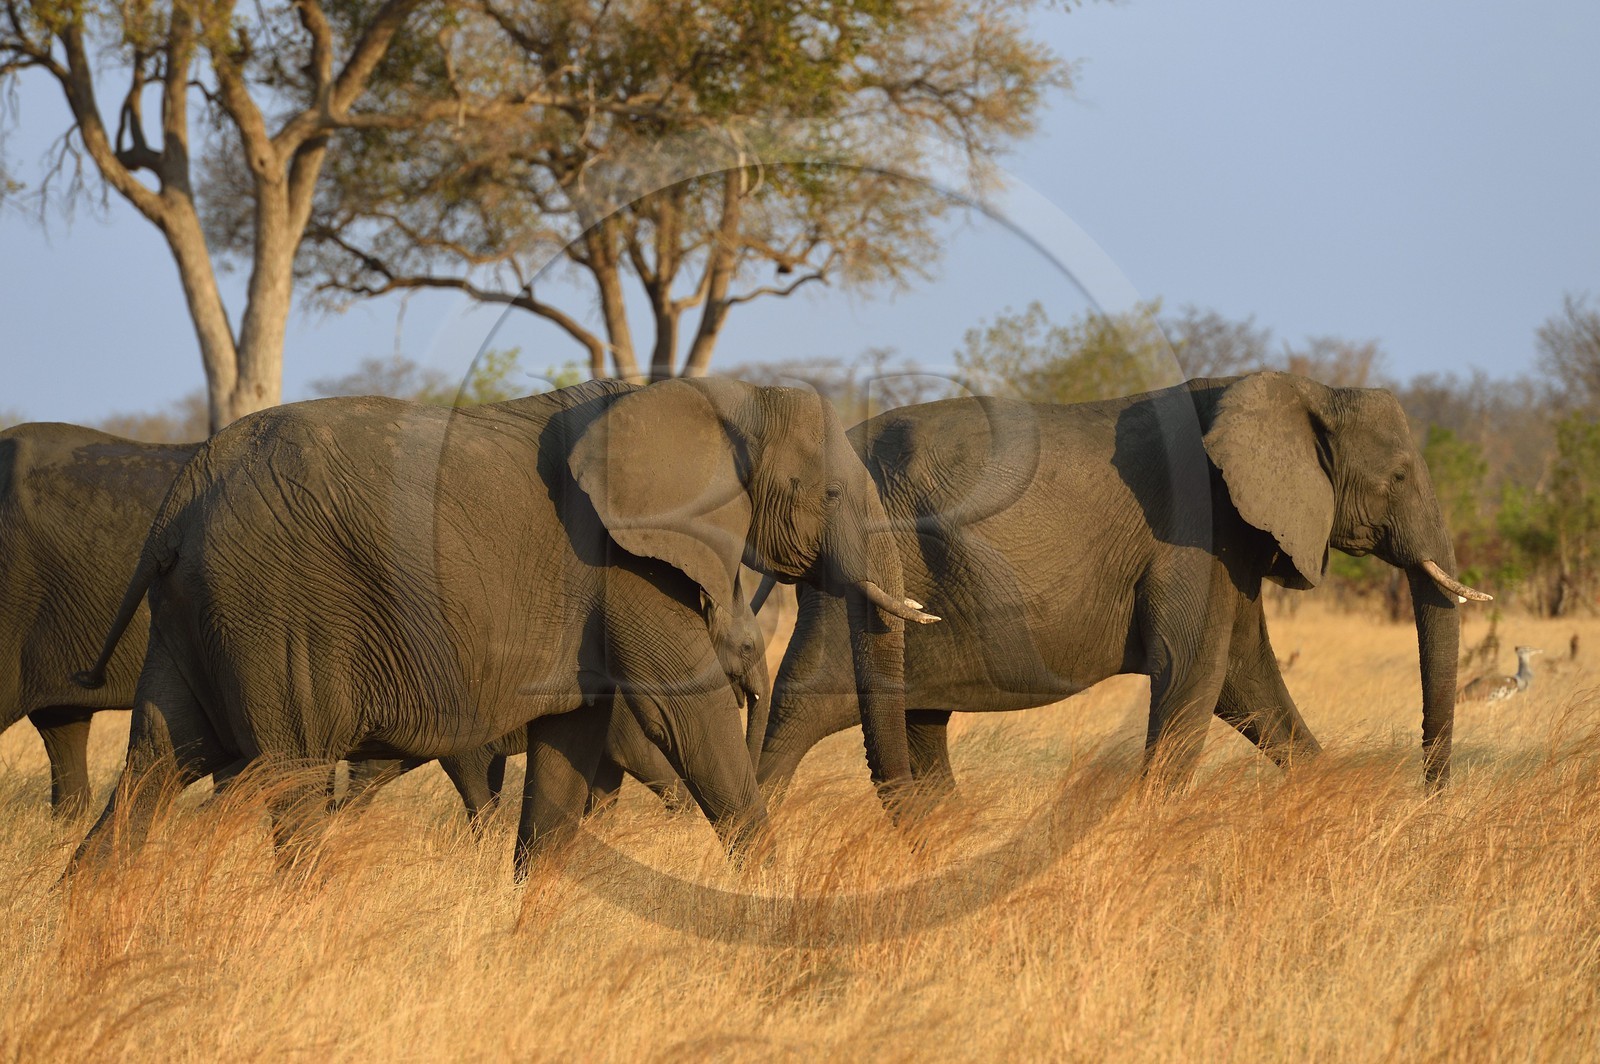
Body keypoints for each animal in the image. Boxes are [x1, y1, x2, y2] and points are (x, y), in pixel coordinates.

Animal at [71, 377, 934, 876]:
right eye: (829, 493)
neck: (719, 397)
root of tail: (181, 497)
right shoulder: (627, 568)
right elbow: (685, 718)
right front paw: (779, 905)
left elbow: (570, 744)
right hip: (274, 609)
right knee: (294, 777)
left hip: (197, 613)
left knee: (153, 764)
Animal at [757, 372, 1489, 802]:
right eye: (1399, 476)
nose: (1430, 799)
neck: (1303, 389)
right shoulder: (1197, 534)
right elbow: (1195, 676)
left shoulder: (1232, 544)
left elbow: (1246, 680)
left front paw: (1327, 798)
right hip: (855, 578)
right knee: (803, 707)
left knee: (917, 727)